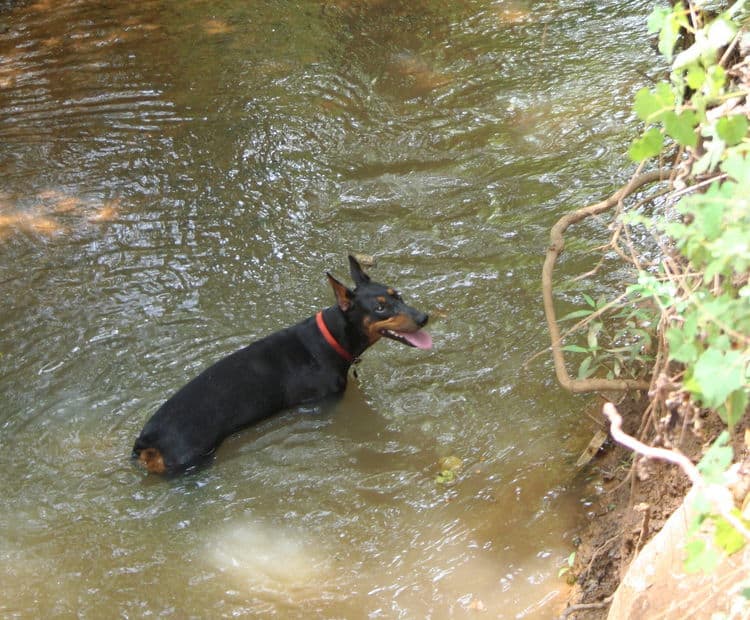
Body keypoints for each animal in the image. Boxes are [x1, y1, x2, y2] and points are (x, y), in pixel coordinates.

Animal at [132, 256, 432, 474]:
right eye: (380, 308)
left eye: (398, 295)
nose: (424, 317)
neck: (331, 338)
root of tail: (147, 440)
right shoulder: (326, 402)